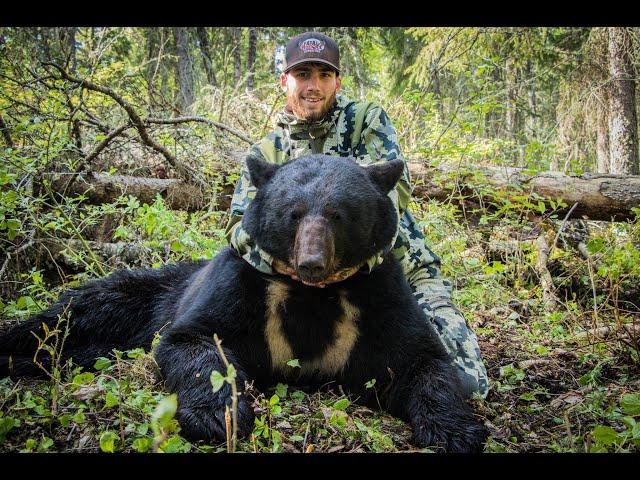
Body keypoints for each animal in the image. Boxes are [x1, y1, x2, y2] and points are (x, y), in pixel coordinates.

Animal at [1, 156, 484, 452]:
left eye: (339, 214)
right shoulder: (242, 285)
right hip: (145, 292)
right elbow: (194, 339)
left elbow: (422, 361)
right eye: (293, 213)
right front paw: (219, 417)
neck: (313, 293)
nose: (312, 261)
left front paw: (456, 431)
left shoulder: (375, 295)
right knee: (80, 309)